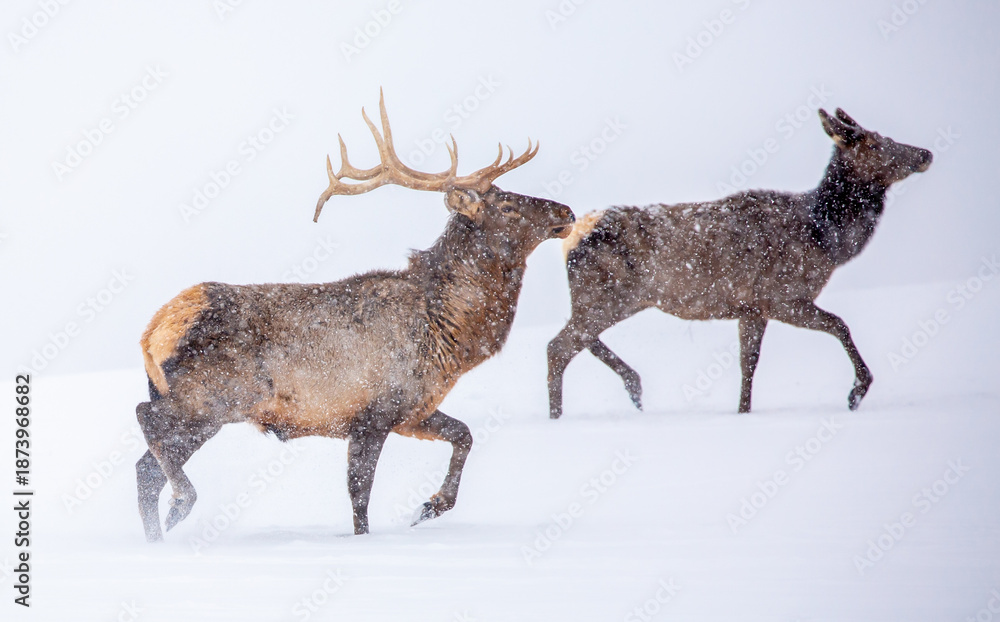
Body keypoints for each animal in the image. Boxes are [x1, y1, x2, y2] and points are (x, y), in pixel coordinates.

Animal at [135, 91, 575, 541]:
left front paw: (429, 506)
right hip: (211, 399)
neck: (449, 336)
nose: (566, 211)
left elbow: (464, 435)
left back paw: (158, 536)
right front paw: (372, 535)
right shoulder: (371, 413)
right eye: (507, 204)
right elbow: (360, 494)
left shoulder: (411, 411)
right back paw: (181, 504)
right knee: (144, 419)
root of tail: (153, 330)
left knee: (145, 469)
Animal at [547, 108, 932, 418]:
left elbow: (748, 363)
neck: (826, 239)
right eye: (872, 142)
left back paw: (633, 388)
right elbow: (840, 324)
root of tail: (572, 234)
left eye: (882, 135)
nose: (925, 153)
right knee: (558, 347)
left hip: (607, 299)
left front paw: (743, 412)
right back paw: (558, 417)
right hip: (608, 295)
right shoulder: (782, 296)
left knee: (578, 340)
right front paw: (856, 393)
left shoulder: (751, 308)